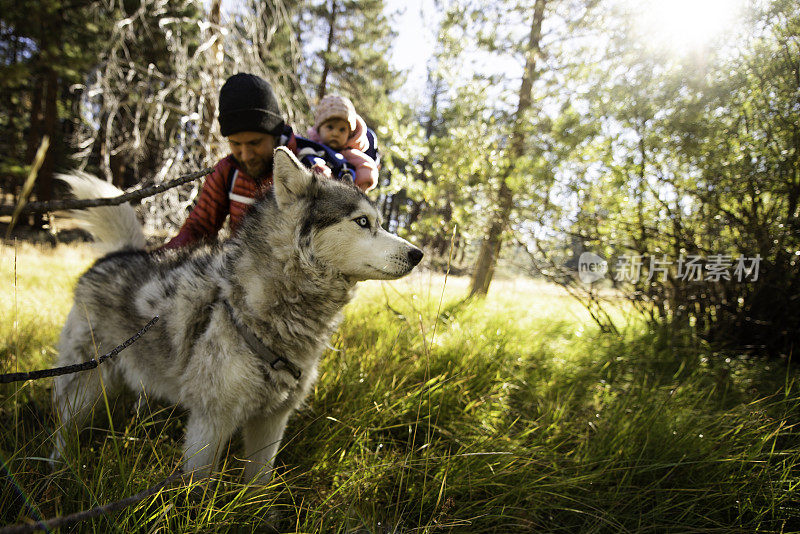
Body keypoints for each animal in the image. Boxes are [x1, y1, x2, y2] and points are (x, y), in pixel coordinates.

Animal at [50, 149, 424, 484]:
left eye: (379, 223)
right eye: (362, 222)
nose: (417, 254)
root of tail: (118, 254)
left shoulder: (272, 421)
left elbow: (259, 482)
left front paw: (261, 509)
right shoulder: (210, 421)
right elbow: (199, 486)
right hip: (81, 387)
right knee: (62, 430)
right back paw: (57, 469)